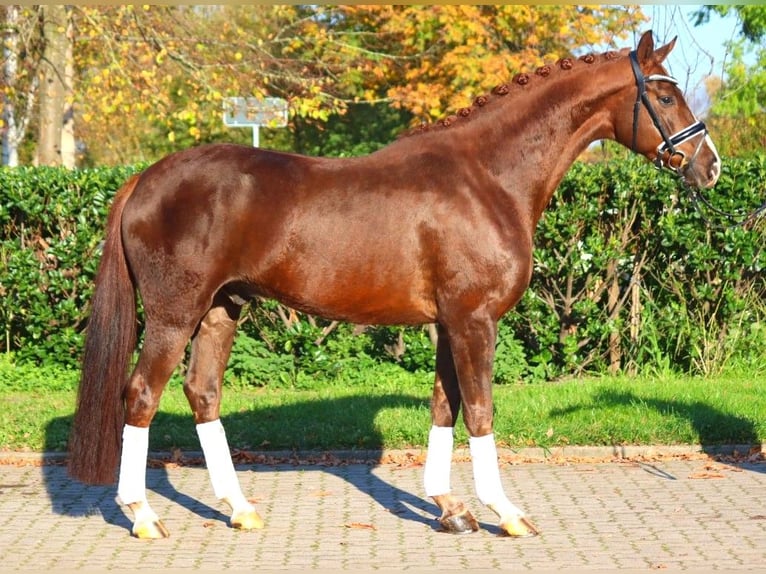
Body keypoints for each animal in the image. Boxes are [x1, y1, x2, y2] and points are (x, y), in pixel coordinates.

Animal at [66, 32, 720, 540]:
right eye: (664, 94)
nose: (709, 165)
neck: (487, 177)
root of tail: (146, 178)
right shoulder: (474, 320)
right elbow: (480, 411)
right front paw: (506, 512)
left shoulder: (451, 323)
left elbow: (445, 406)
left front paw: (450, 509)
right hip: (174, 314)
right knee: (141, 397)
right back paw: (142, 515)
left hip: (221, 310)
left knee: (203, 394)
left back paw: (240, 509)